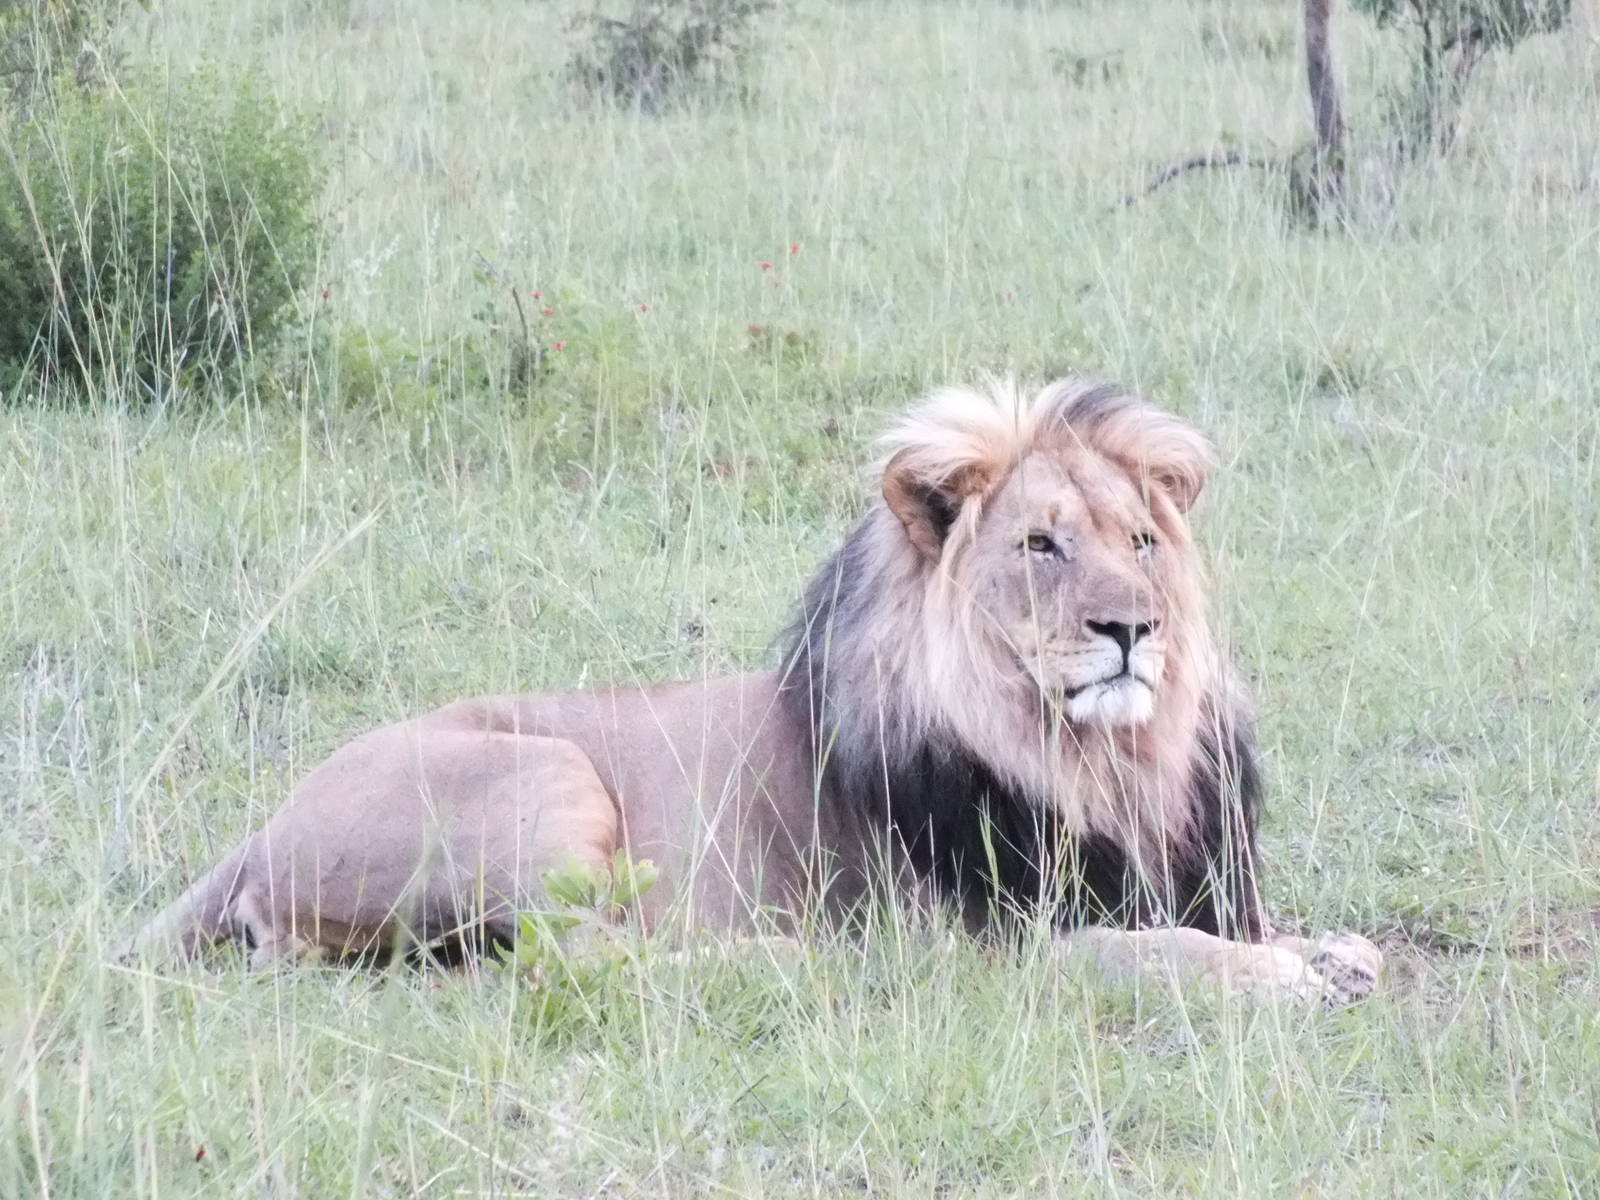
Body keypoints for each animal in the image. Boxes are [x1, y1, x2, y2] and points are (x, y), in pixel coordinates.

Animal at [123, 378, 1381, 1003]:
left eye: (1141, 541)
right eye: (1041, 545)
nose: (1133, 630)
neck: (1103, 762)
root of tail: (255, 833)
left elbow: (1284, 932)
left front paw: (1330, 952)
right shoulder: (1000, 947)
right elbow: (1156, 952)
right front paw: (1276, 975)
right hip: (549, 775)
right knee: (564, 955)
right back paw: (775, 962)